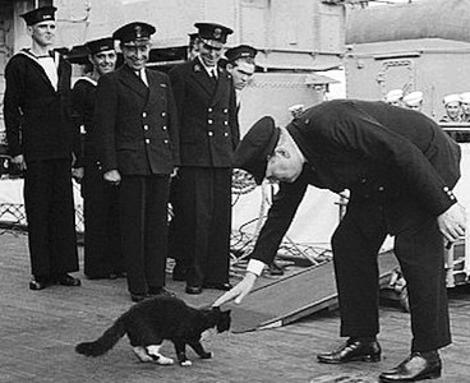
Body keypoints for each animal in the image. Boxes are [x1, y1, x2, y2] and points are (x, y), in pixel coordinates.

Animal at [75, 296, 231, 368]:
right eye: (228, 323)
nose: (229, 330)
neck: (205, 318)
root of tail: (126, 314)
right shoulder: (181, 337)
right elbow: (182, 350)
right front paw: (185, 361)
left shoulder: (193, 339)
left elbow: (199, 347)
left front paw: (205, 355)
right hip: (153, 334)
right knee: (151, 349)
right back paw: (164, 360)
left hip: (137, 334)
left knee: (137, 347)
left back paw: (145, 358)